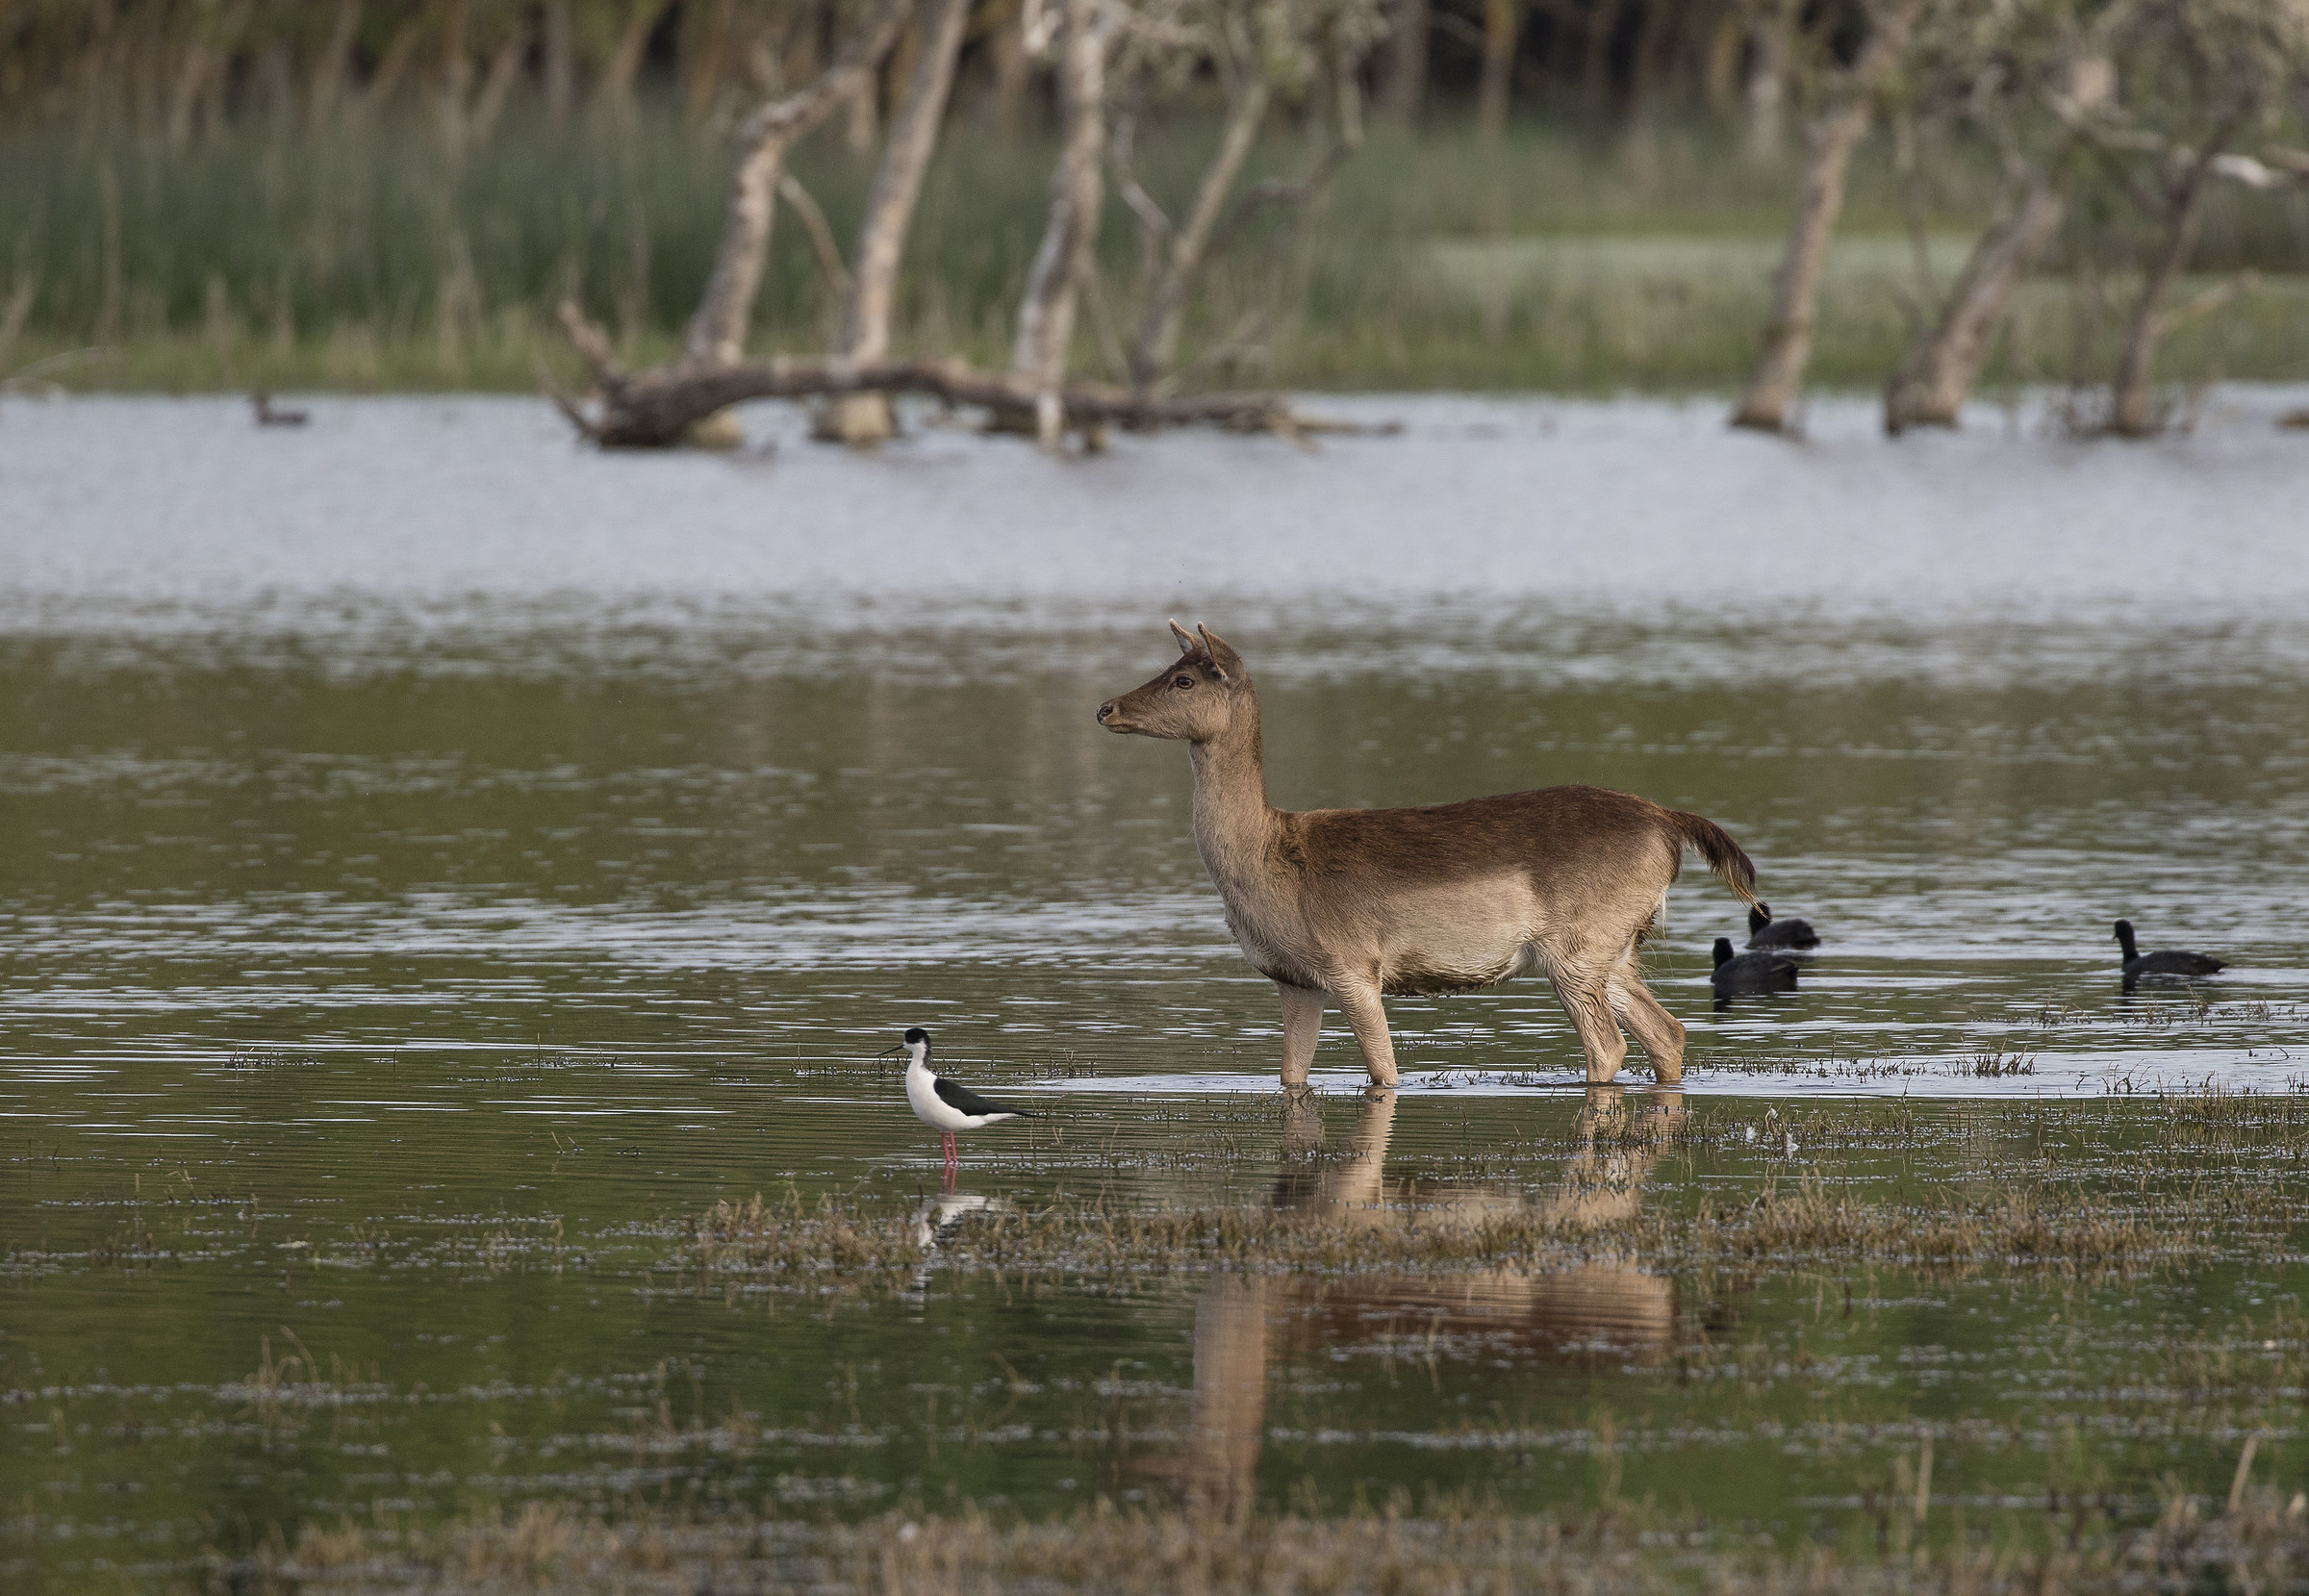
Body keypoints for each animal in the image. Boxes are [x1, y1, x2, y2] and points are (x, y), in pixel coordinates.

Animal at [1096, 622, 1760, 1090]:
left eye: (1185, 679)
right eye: (1169, 666)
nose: (1107, 708)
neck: (1266, 865)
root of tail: (1670, 822)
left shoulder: (1351, 963)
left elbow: (1384, 1073)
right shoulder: (1293, 980)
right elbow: (1290, 1078)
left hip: (1574, 947)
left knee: (1609, 1046)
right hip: (1615, 949)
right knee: (1666, 1033)